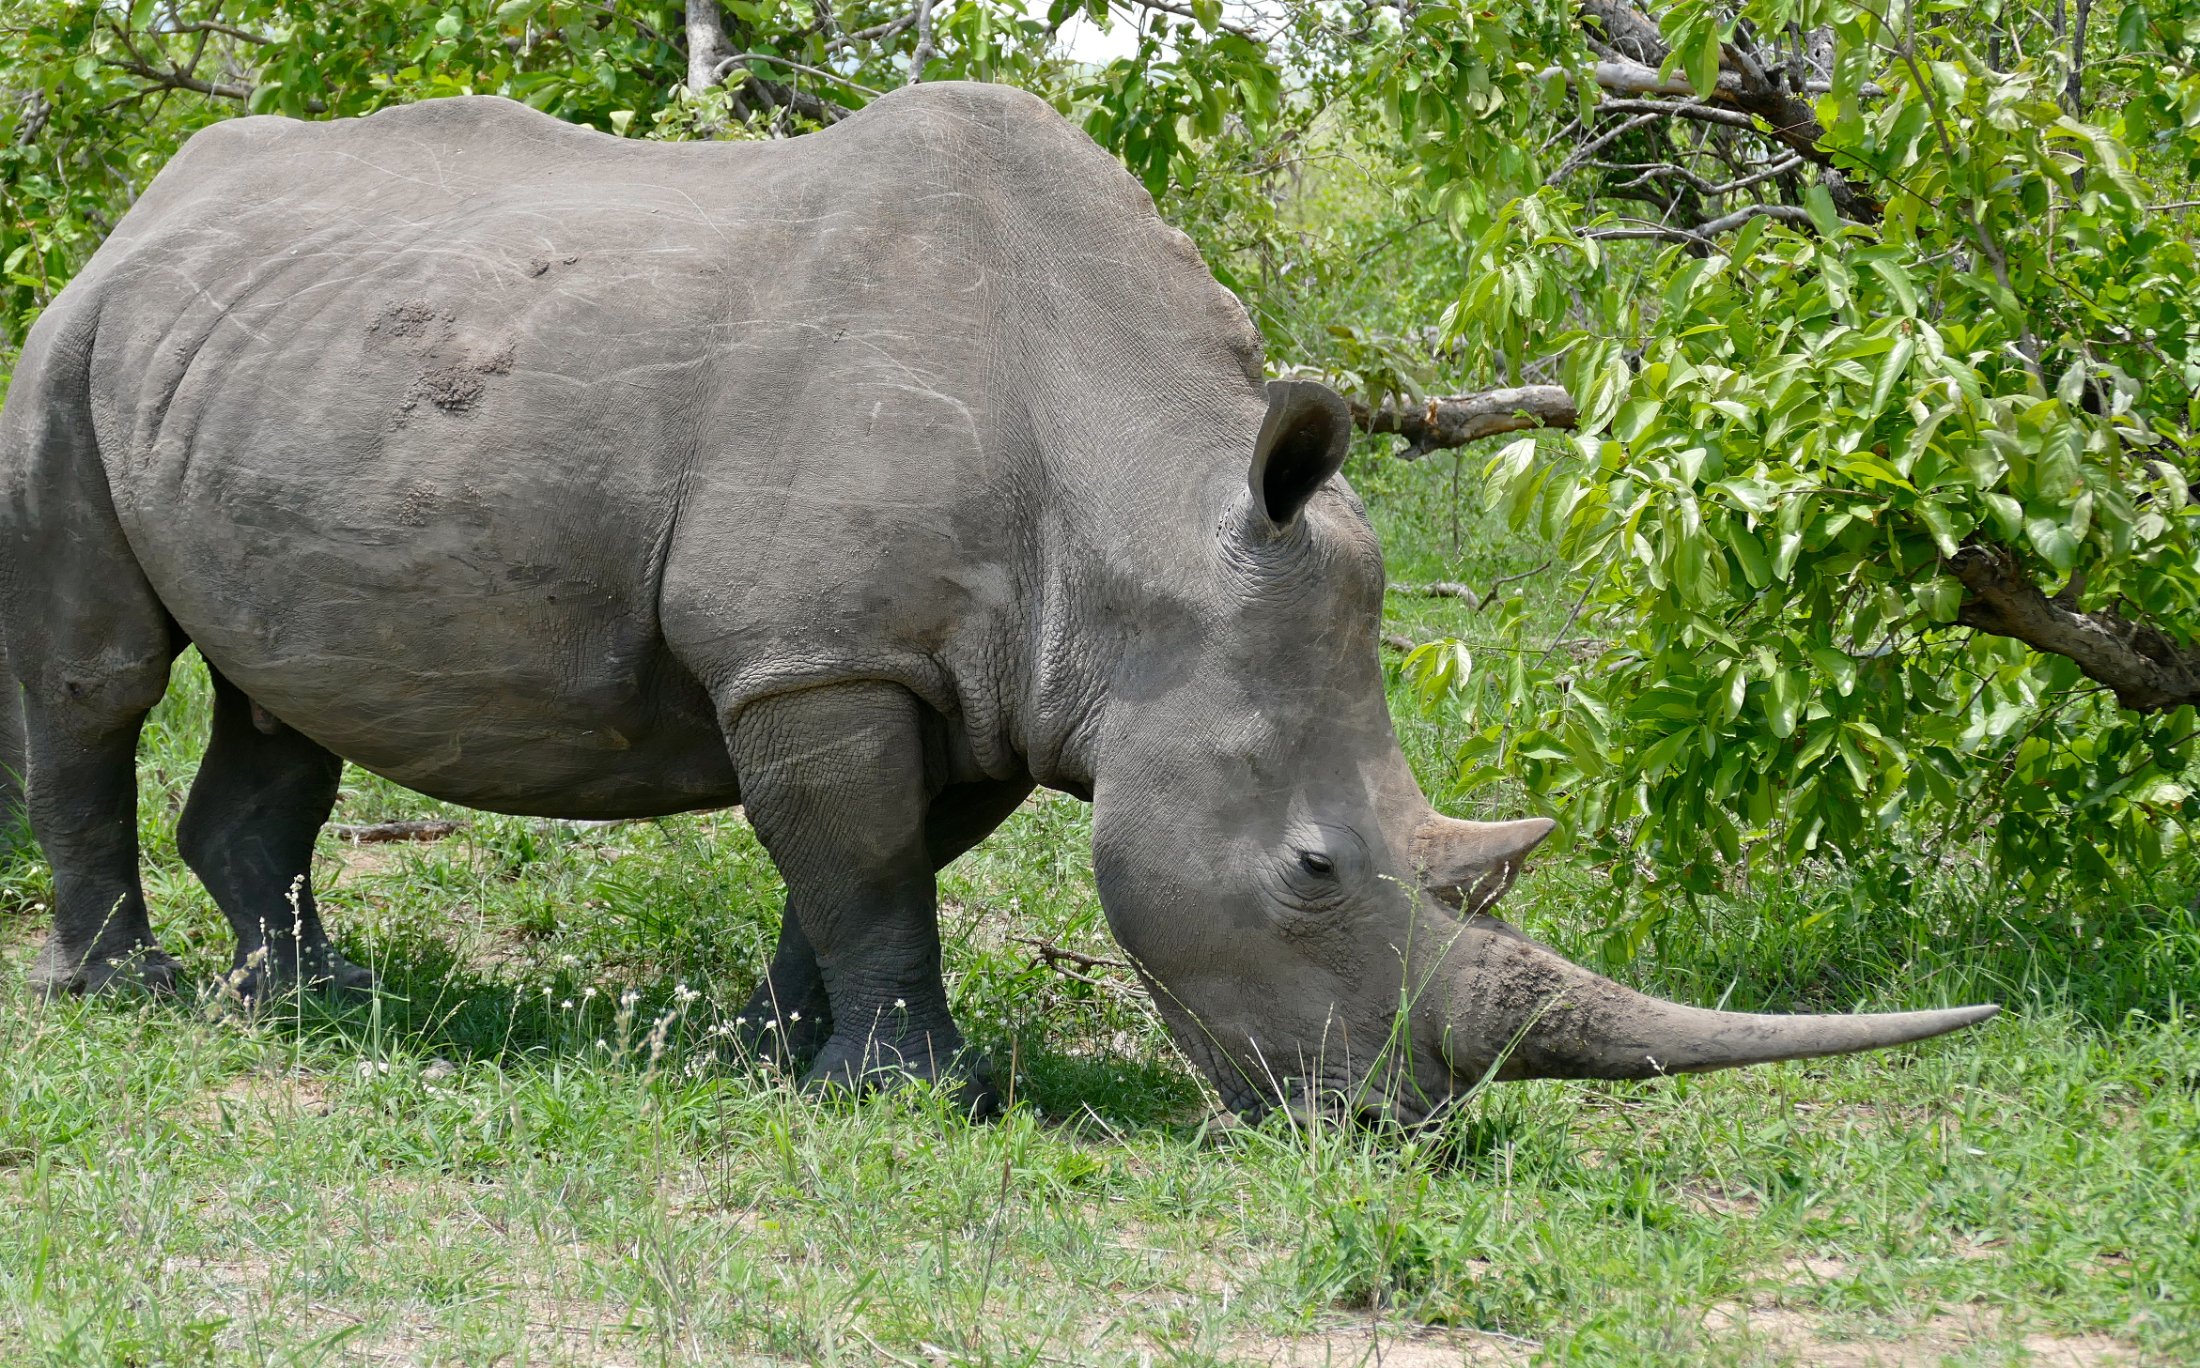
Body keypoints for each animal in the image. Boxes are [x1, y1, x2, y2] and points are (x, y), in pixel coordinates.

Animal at [0, 84, 1993, 1121]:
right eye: (1313, 873)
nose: (1392, 1126)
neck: (1150, 503)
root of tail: (149, 202)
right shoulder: (820, 657)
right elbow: (869, 865)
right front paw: (916, 1097)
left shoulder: (970, 676)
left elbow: (863, 870)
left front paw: (786, 1055)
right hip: (70, 340)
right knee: (98, 676)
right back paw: (135, 996)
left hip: (265, 348)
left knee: (283, 691)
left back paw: (310, 993)